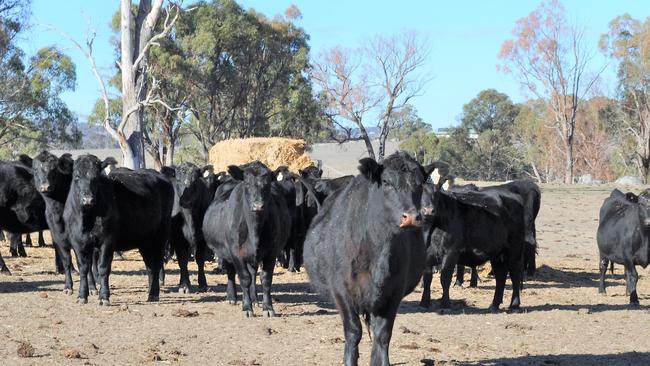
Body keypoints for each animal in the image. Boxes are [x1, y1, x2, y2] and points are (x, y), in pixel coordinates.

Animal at [63, 156, 173, 304]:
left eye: (96, 178)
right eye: (76, 176)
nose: (88, 199)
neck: (87, 218)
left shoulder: (107, 241)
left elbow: (103, 268)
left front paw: (104, 297)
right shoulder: (78, 242)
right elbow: (83, 268)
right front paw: (82, 296)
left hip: (160, 235)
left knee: (156, 262)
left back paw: (154, 293)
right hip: (144, 240)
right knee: (149, 265)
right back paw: (150, 293)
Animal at [202, 162, 288, 316]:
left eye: (267, 184)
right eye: (247, 184)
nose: (258, 205)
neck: (255, 230)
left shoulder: (272, 252)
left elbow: (265, 279)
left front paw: (268, 307)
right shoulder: (236, 252)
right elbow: (244, 278)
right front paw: (247, 307)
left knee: (253, 274)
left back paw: (254, 299)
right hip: (226, 252)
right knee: (231, 272)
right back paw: (232, 297)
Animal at [304, 152, 430, 366]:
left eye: (420, 183)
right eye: (386, 182)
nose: (412, 217)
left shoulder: (394, 293)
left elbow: (382, 335)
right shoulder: (341, 291)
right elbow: (353, 332)